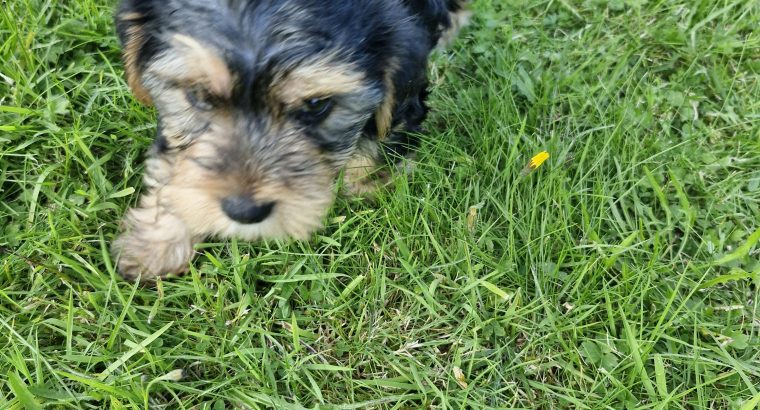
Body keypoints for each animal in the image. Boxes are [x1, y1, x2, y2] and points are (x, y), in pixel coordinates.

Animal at [113, 0, 470, 280]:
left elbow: (377, 140)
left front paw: (364, 188)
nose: (245, 212)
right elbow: (174, 162)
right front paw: (157, 242)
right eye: (198, 95)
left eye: (315, 105)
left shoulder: (402, 89)